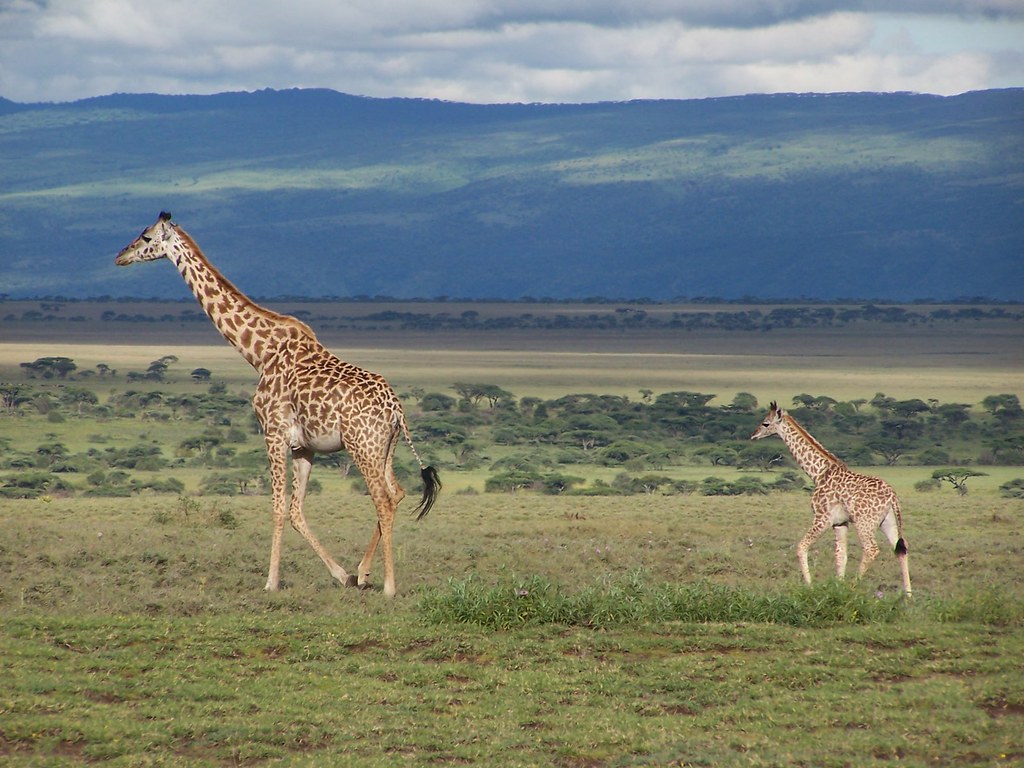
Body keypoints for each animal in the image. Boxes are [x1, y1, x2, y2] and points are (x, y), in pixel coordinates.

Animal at [115, 212, 440, 598]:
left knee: (385, 501)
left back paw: (389, 586)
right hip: (385, 448)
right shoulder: (303, 446)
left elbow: (277, 507)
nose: (120, 256)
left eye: (146, 237)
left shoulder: (272, 433)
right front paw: (342, 574)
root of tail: (396, 410)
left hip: (363, 447)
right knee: (398, 492)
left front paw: (270, 581)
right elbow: (296, 511)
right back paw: (362, 573)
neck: (259, 352)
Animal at [750, 401, 911, 596]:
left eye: (765, 423)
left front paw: (810, 587)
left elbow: (801, 547)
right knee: (900, 549)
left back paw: (854, 587)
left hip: (865, 522)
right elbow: (841, 555)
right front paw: (838, 589)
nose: (753, 435)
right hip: (887, 521)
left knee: (871, 549)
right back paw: (909, 596)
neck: (819, 472)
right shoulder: (840, 523)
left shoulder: (822, 518)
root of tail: (892, 495)